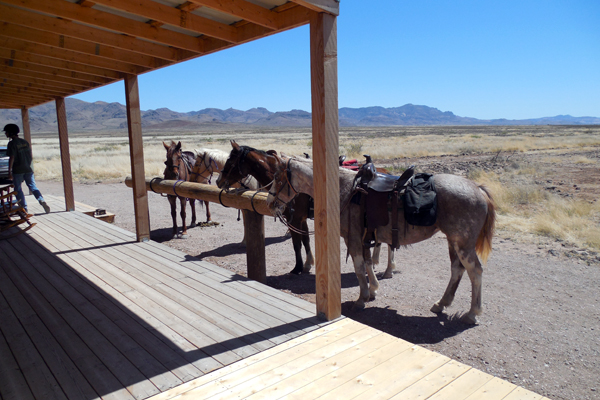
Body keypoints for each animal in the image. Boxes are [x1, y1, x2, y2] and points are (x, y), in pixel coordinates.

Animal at [216, 141, 316, 276]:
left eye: (230, 161)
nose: (218, 180)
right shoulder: (301, 219)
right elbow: (305, 240)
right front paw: (307, 264)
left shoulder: (294, 219)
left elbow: (296, 244)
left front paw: (297, 268)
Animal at [270, 155, 494, 324]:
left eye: (279, 179)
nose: (271, 202)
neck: (345, 191)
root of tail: (478, 189)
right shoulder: (364, 237)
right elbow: (368, 263)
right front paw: (373, 290)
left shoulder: (352, 238)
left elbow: (359, 267)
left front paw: (361, 299)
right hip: (453, 241)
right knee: (457, 269)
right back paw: (441, 304)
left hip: (463, 244)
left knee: (475, 271)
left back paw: (472, 314)